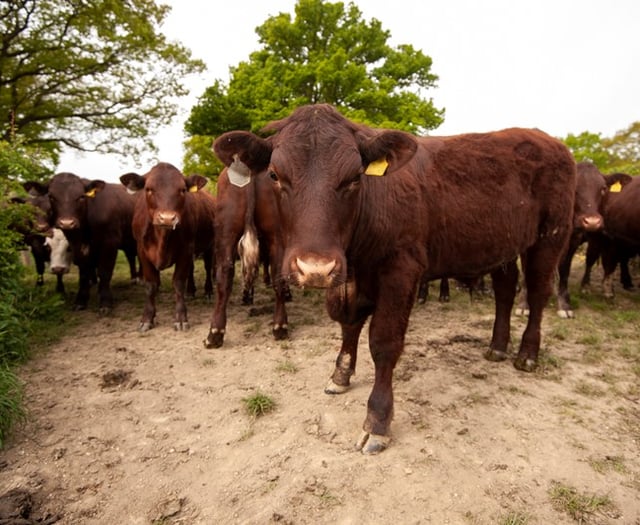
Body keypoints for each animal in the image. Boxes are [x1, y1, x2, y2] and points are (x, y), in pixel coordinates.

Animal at [31, 172, 138, 312]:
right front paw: (81, 300)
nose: (67, 223)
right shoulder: (77, 245)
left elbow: (104, 272)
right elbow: (84, 273)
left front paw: (105, 301)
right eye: (51, 196)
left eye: (81, 196)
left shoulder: (109, 244)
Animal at [120, 162, 218, 330]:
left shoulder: (186, 249)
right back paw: (190, 291)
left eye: (182, 190)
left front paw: (181, 318)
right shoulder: (142, 251)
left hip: (209, 246)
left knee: (207, 267)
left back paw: (208, 292)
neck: (162, 238)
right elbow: (151, 285)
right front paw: (147, 318)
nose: (167, 218)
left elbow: (178, 282)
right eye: (149, 189)